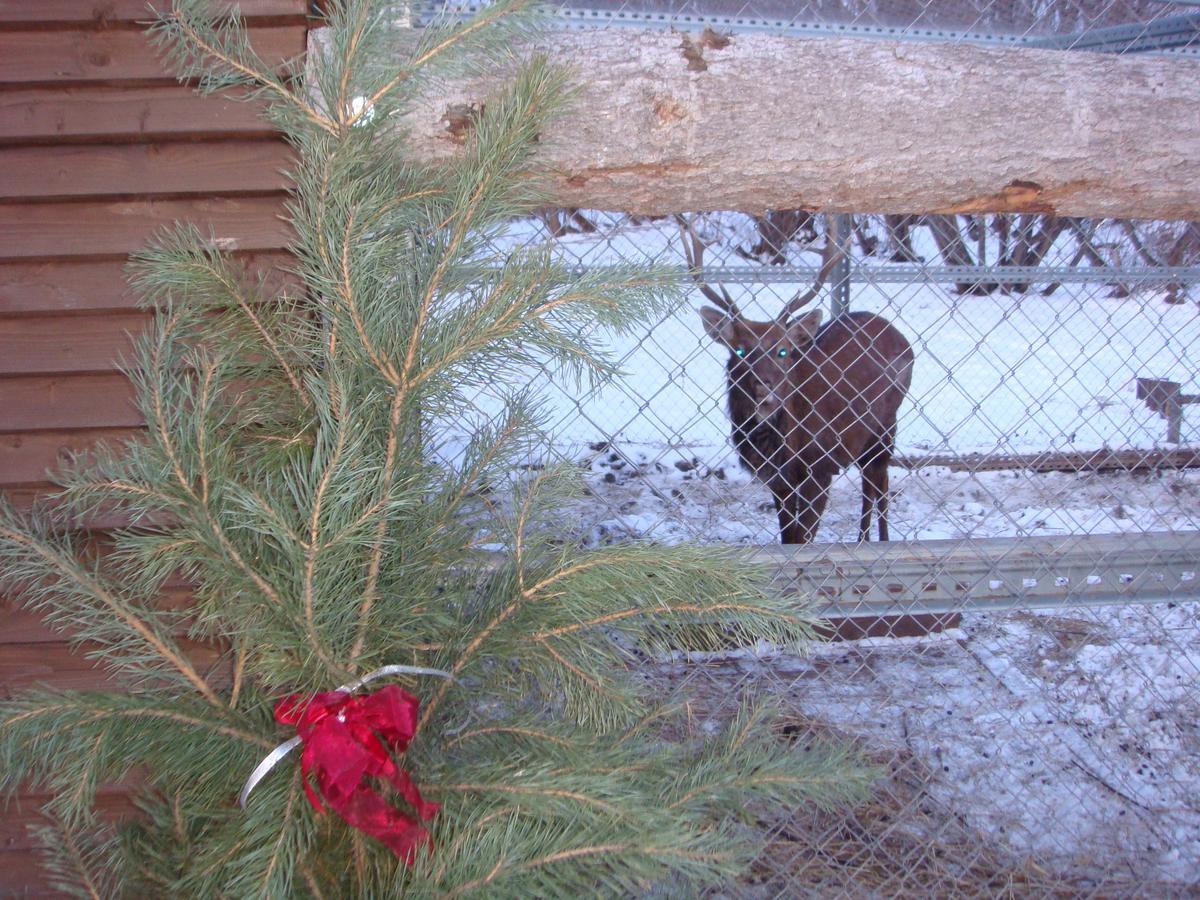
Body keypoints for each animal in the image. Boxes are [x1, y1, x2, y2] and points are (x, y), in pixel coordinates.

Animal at [681, 214, 912, 547]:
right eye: (740, 350)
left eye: (783, 350)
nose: (764, 393)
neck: (786, 448)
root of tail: (898, 334)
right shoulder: (778, 480)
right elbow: (788, 537)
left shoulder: (821, 468)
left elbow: (802, 539)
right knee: (872, 484)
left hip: (887, 423)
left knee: (878, 482)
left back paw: (878, 541)